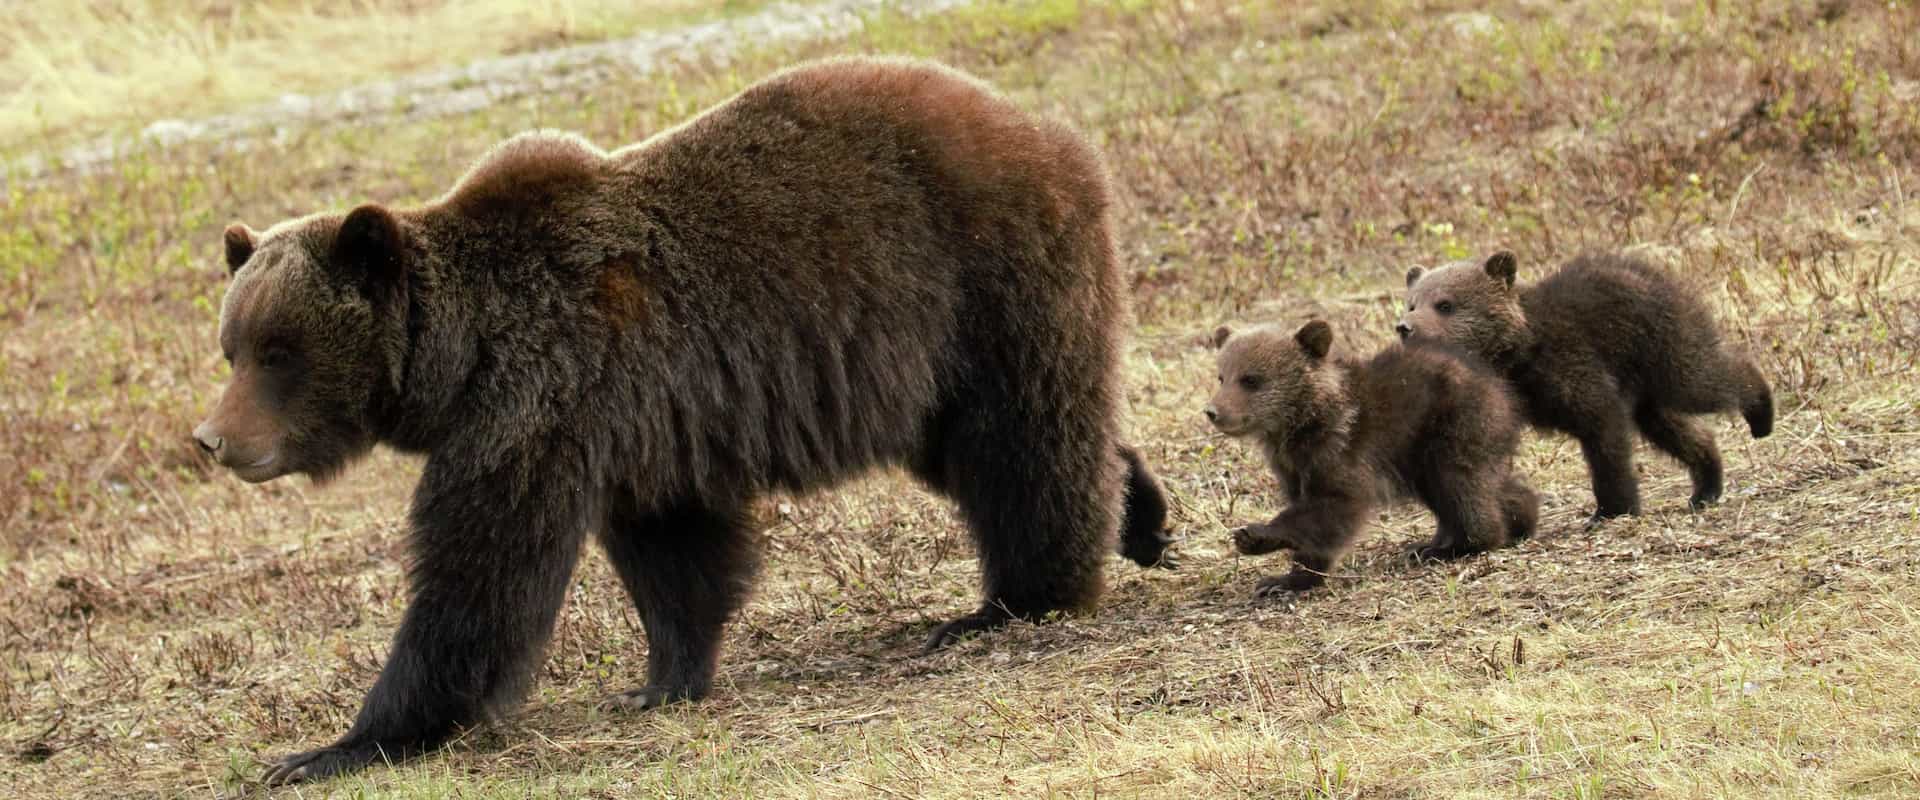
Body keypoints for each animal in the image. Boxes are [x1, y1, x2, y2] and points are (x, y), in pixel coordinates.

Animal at [192, 56, 1172, 784]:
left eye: (278, 351)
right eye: (232, 346)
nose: (214, 439)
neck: (461, 358)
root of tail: (1047, 130)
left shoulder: (539, 399)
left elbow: (481, 574)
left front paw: (340, 744)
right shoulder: (630, 424)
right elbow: (675, 552)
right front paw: (662, 680)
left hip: (976, 278)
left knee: (1019, 441)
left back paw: (1015, 601)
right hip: (928, 364)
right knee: (991, 442)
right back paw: (1143, 519)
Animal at [1206, 320, 1539, 595]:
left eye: (1251, 379)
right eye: (1222, 376)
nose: (1213, 411)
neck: (1303, 423)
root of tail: (1501, 387)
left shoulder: (1340, 450)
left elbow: (1333, 508)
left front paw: (1257, 539)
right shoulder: (1293, 467)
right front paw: (1282, 577)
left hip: (1450, 427)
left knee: (1460, 485)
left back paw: (1454, 546)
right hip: (1420, 453)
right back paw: (1516, 519)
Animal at [1397, 251, 1774, 522]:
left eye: (1446, 304)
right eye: (1412, 302)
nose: (1404, 327)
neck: (1515, 356)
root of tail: (1655, 271)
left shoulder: (1572, 365)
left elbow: (1602, 430)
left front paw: (1611, 508)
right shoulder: (1509, 396)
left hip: (1660, 343)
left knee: (1700, 379)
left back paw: (1760, 412)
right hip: (1643, 384)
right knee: (1671, 426)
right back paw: (1705, 486)